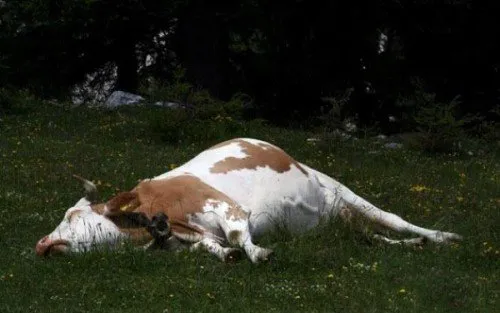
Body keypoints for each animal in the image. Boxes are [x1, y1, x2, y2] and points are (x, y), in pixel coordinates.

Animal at [35, 138, 462, 262]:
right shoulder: (188, 237)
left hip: (340, 191)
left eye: (71, 216)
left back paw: (442, 237)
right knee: (370, 237)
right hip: (338, 220)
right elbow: (214, 246)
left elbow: (241, 235)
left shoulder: (227, 207)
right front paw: (226, 255)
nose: (41, 244)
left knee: (390, 218)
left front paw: (259, 253)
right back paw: (413, 244)